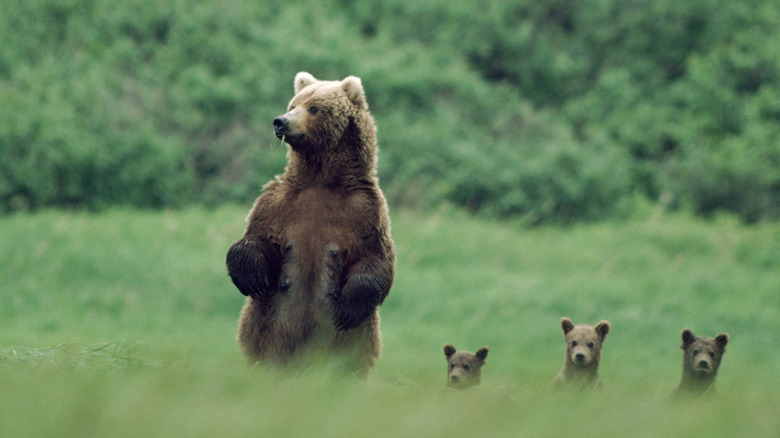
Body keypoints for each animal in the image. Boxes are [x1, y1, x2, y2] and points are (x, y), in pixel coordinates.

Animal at [227, 72, 396, 376]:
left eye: (314, 107)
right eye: (293, 104)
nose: (280, 121)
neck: (321, 179)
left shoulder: (366, 211)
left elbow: (375, 259)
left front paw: (349, 306)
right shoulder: (279, 202)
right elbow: (257, 237)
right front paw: (252, 277)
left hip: (351, 343)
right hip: (266, 330)